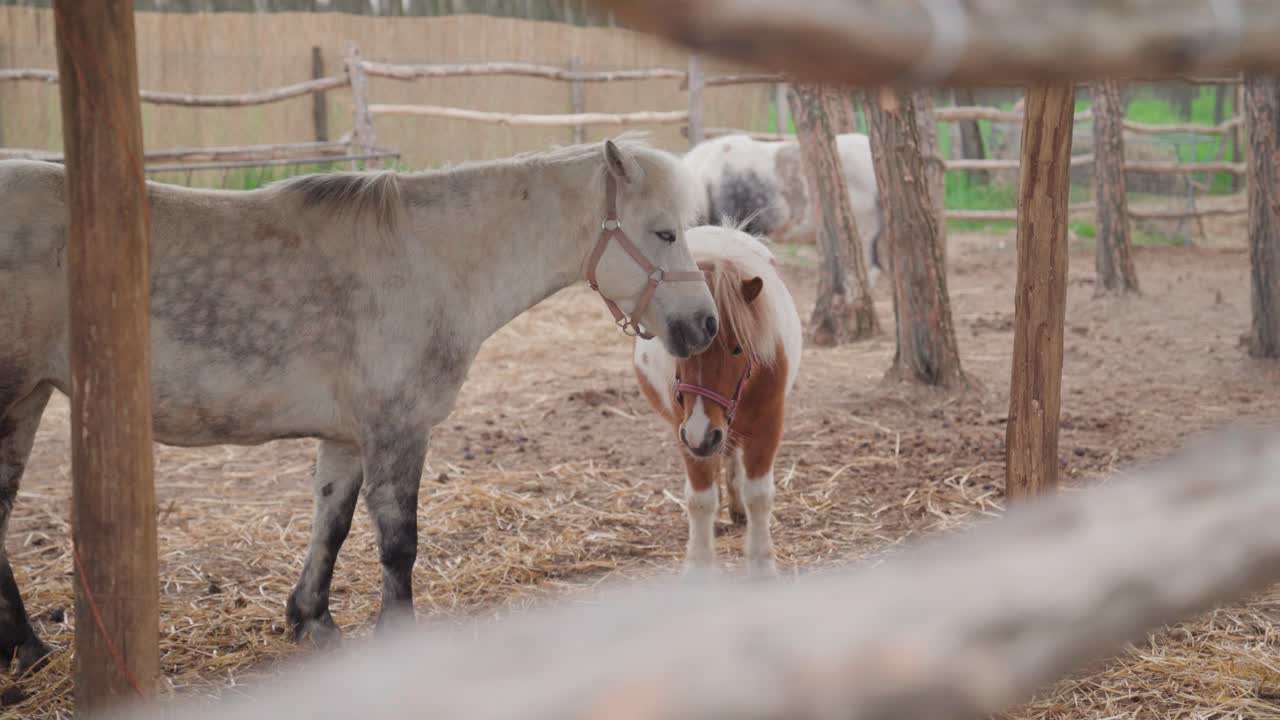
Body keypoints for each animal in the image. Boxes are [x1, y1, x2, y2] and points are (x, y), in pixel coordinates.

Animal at [0, 135, 718, 669]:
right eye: (663, 233)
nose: (705, 325)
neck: (429, 260)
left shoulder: (347, 438)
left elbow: (333, 525)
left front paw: (311, 619)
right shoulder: (397, 430)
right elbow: (399, 541)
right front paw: (393, 634)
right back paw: (30, 650)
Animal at [634, 224, 802, 577]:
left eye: (737, 347)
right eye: (679, 350)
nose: (701, 432)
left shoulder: (768, 426)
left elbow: (759, 496)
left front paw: (762, 564)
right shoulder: (687, 434)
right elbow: (701, 498)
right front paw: (699, 565)